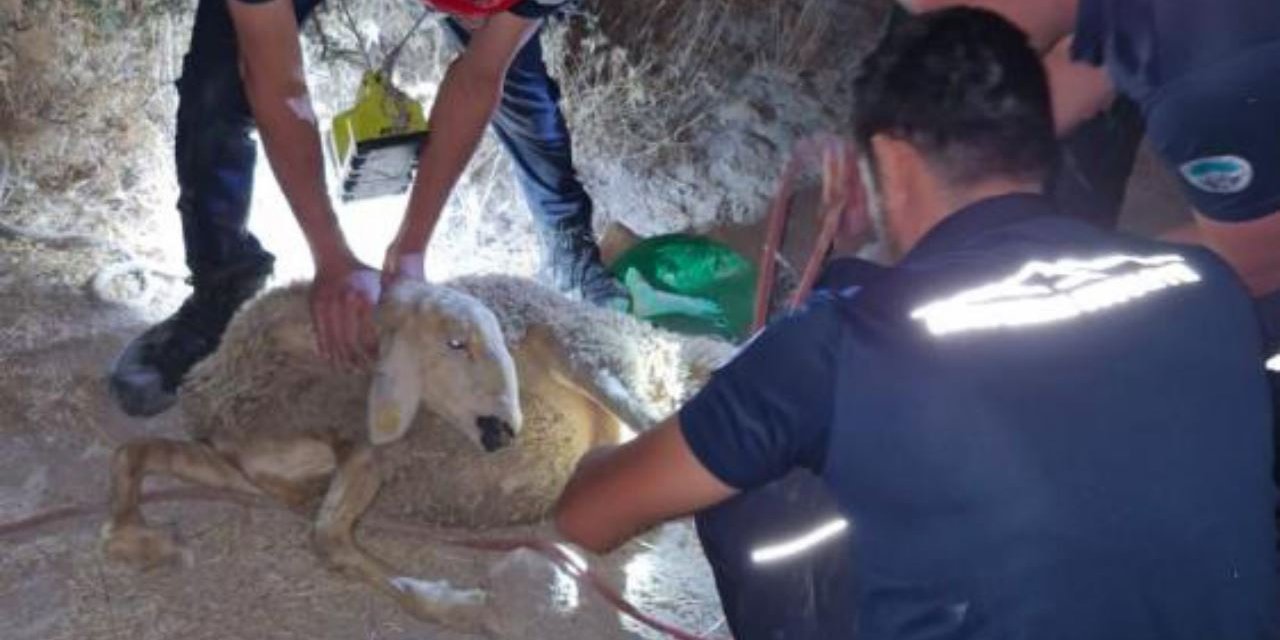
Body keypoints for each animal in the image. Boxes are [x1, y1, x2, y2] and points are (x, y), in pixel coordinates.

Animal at [102, 275, 732, 634]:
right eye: (455, 343)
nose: (505, 431)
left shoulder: (368, 453)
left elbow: (328, 538)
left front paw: (458, 605)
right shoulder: (271, 469)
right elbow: (133, 453)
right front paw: (144, 541)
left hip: (584, 348)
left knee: (654, 417)